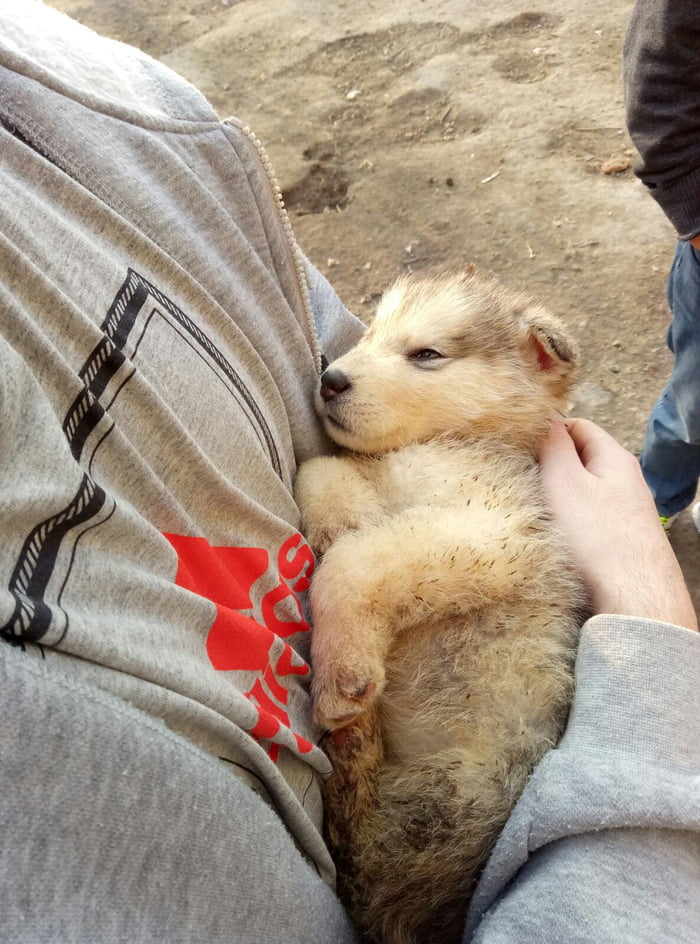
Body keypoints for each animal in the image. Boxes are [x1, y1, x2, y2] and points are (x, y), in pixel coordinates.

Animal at [294, 268, 584, 944]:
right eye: (370, 334)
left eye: (426, 353)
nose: (330, 377)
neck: (447, 443)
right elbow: (323, 474)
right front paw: (341, 515)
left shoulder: (491, 533)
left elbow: (355, 560)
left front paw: (342, 668)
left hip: (446, 797)